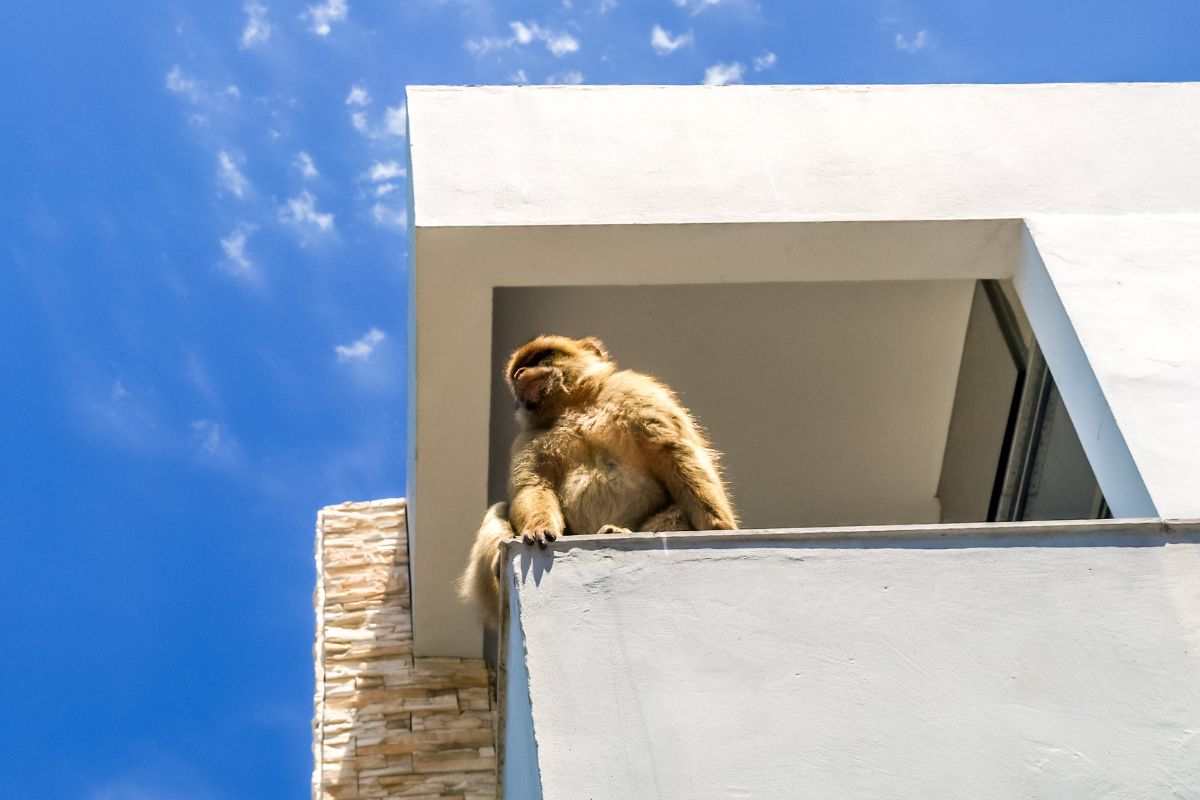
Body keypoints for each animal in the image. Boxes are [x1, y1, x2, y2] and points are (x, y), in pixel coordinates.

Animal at [458, 334, 737, 627]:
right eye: (517, 372)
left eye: (540, 358)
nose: (522, 373)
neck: (574, 406)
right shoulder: (528, 437)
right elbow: (533, 485)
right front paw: (539, 528)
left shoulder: (638, 393)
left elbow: (677, 453)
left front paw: (718, 527)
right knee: (500, 509)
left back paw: (619, 532)